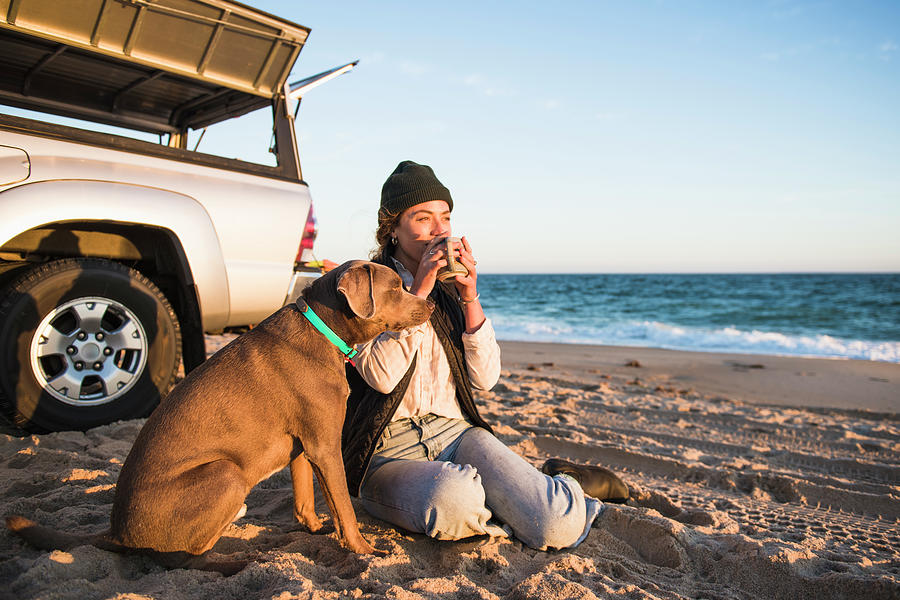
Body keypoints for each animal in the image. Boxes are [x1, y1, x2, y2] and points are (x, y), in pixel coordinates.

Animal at [7, 260, 434, 576]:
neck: (324, 329)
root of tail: (117, 533)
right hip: (226, 473)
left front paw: (313, 528)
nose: (430, 305)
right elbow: (344, 506)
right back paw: (235, 561)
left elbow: (304, 498)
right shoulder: (325, 445)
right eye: (397, 286)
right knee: (183, 559)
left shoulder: (303, 446)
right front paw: (365, 550)